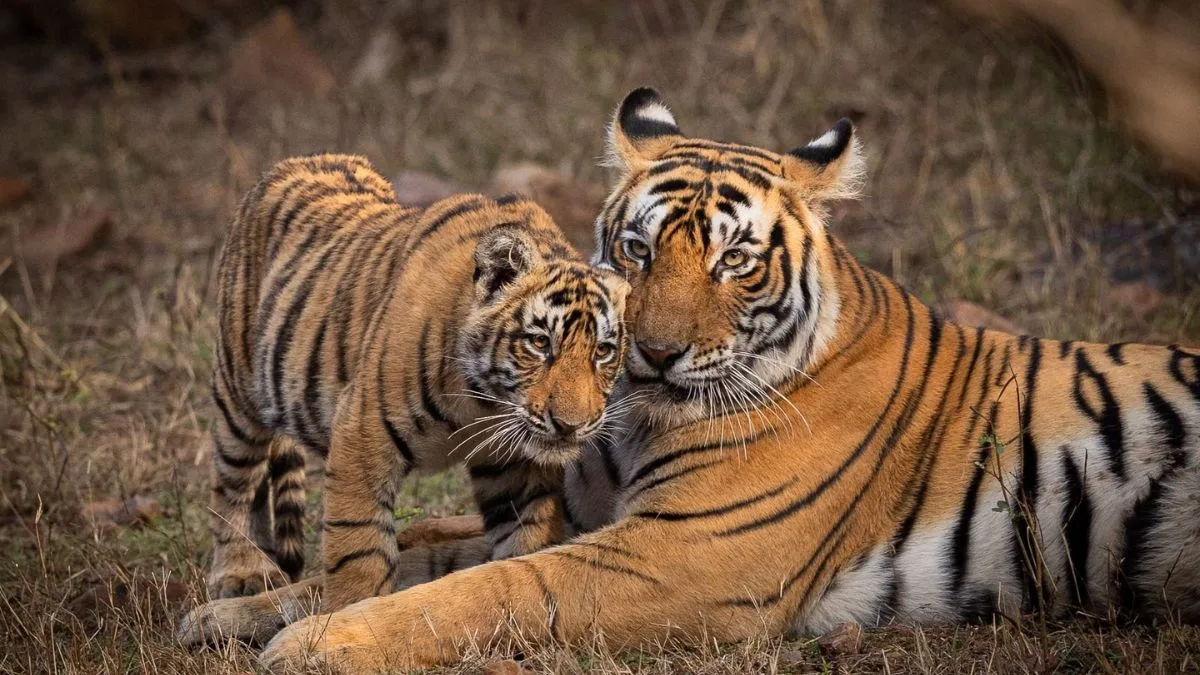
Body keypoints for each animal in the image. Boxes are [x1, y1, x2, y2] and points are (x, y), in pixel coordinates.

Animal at [202, 153, 630, 614]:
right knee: (233, 482)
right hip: (238, 393)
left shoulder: (515, 466)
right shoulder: (362, 434)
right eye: (539, 343)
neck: (482, 401)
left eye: (603, 351)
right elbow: (358, 547)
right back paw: (241, 572)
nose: (570, 426)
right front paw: (349, 614)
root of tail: (290, 163)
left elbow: (524, 541)